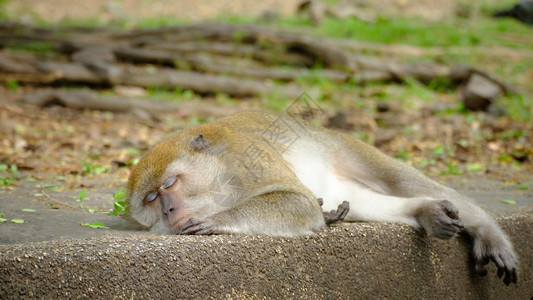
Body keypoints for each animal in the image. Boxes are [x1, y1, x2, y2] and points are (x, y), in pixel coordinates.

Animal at [127, 110, 516, 286]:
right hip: (341, 182)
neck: (219, 181)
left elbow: (295, 201)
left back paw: (486, 230)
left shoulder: (246, 160)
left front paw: (215, 220)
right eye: (150, 199)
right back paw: (424, 210)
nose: (169, 209)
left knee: (403, 180)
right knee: (365, 201)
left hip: (346, 147)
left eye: (170, 183)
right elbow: (303, 204)